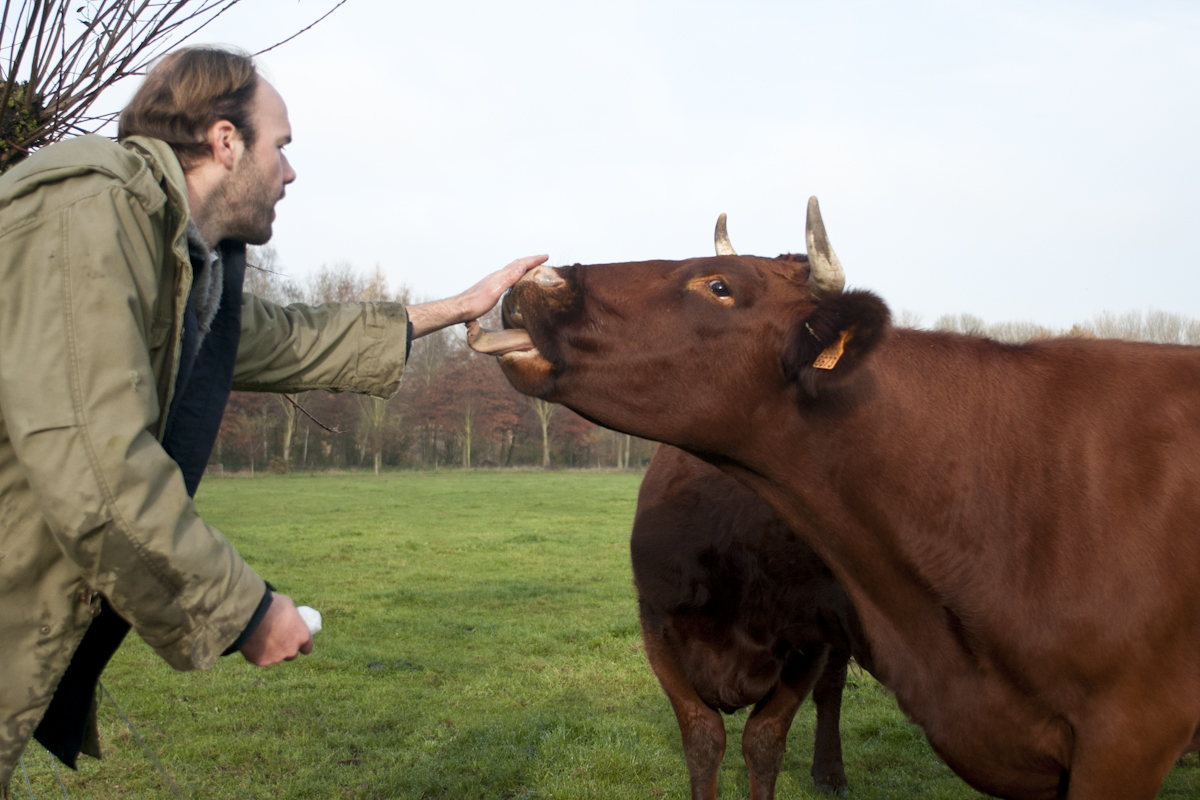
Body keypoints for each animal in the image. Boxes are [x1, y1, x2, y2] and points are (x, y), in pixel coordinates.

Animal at [628, 443, 873, 796]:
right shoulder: (655, 625)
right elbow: (702, 740)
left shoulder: (812, 647)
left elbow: (764, 742)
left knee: (831, 687)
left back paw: (830, 773)